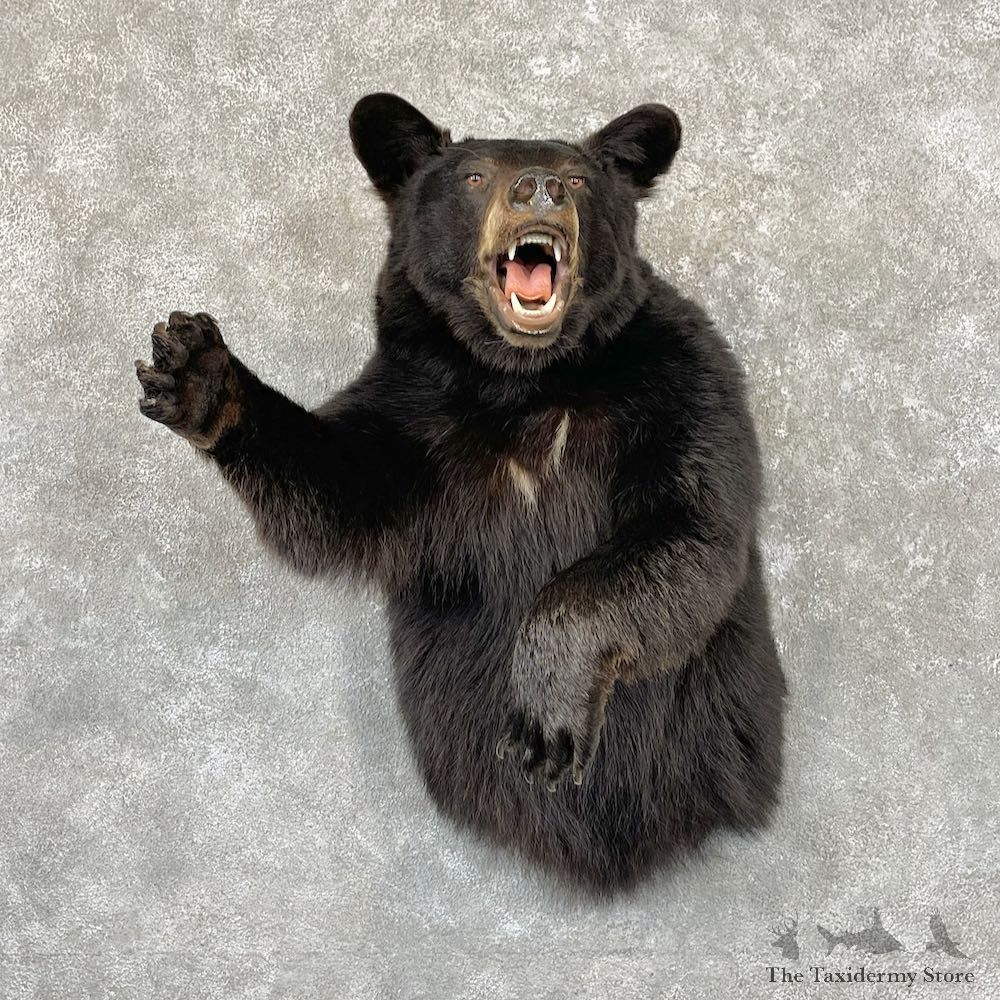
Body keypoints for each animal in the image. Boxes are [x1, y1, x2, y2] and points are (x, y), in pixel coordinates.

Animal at [135, 93, 787, 894]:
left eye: (579, 177)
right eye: (475, 175)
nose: (539, 188)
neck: (523, 379)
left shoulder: (683, 378)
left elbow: (689, 527)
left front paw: (544, 718)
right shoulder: (414, 413)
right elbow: (335, 495)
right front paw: (200, 373)